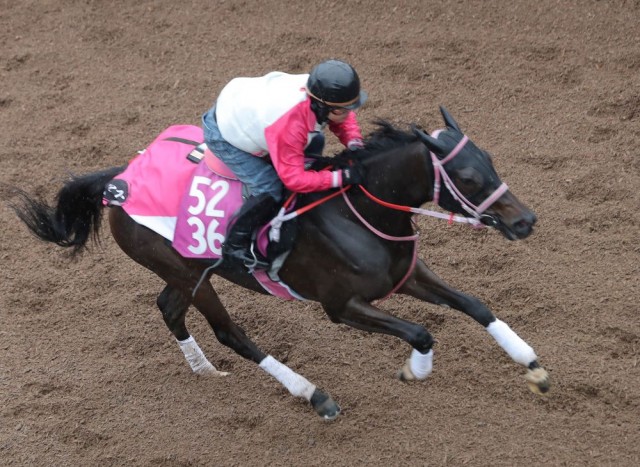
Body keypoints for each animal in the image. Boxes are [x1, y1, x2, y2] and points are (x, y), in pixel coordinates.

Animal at [10, 107, 552, 420]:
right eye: (467, 176)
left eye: (491, 161)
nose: (525, 220)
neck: (358, 211)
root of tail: (119, 179)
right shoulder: (341, 305)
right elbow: (421, 332)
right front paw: (414, 371)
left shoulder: (405, 276)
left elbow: (475, 304)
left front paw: (532, 364)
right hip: (187, 270)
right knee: (230, 332)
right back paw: (313, 394)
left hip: (187, 272)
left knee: (168, 308)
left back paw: (204, 370)